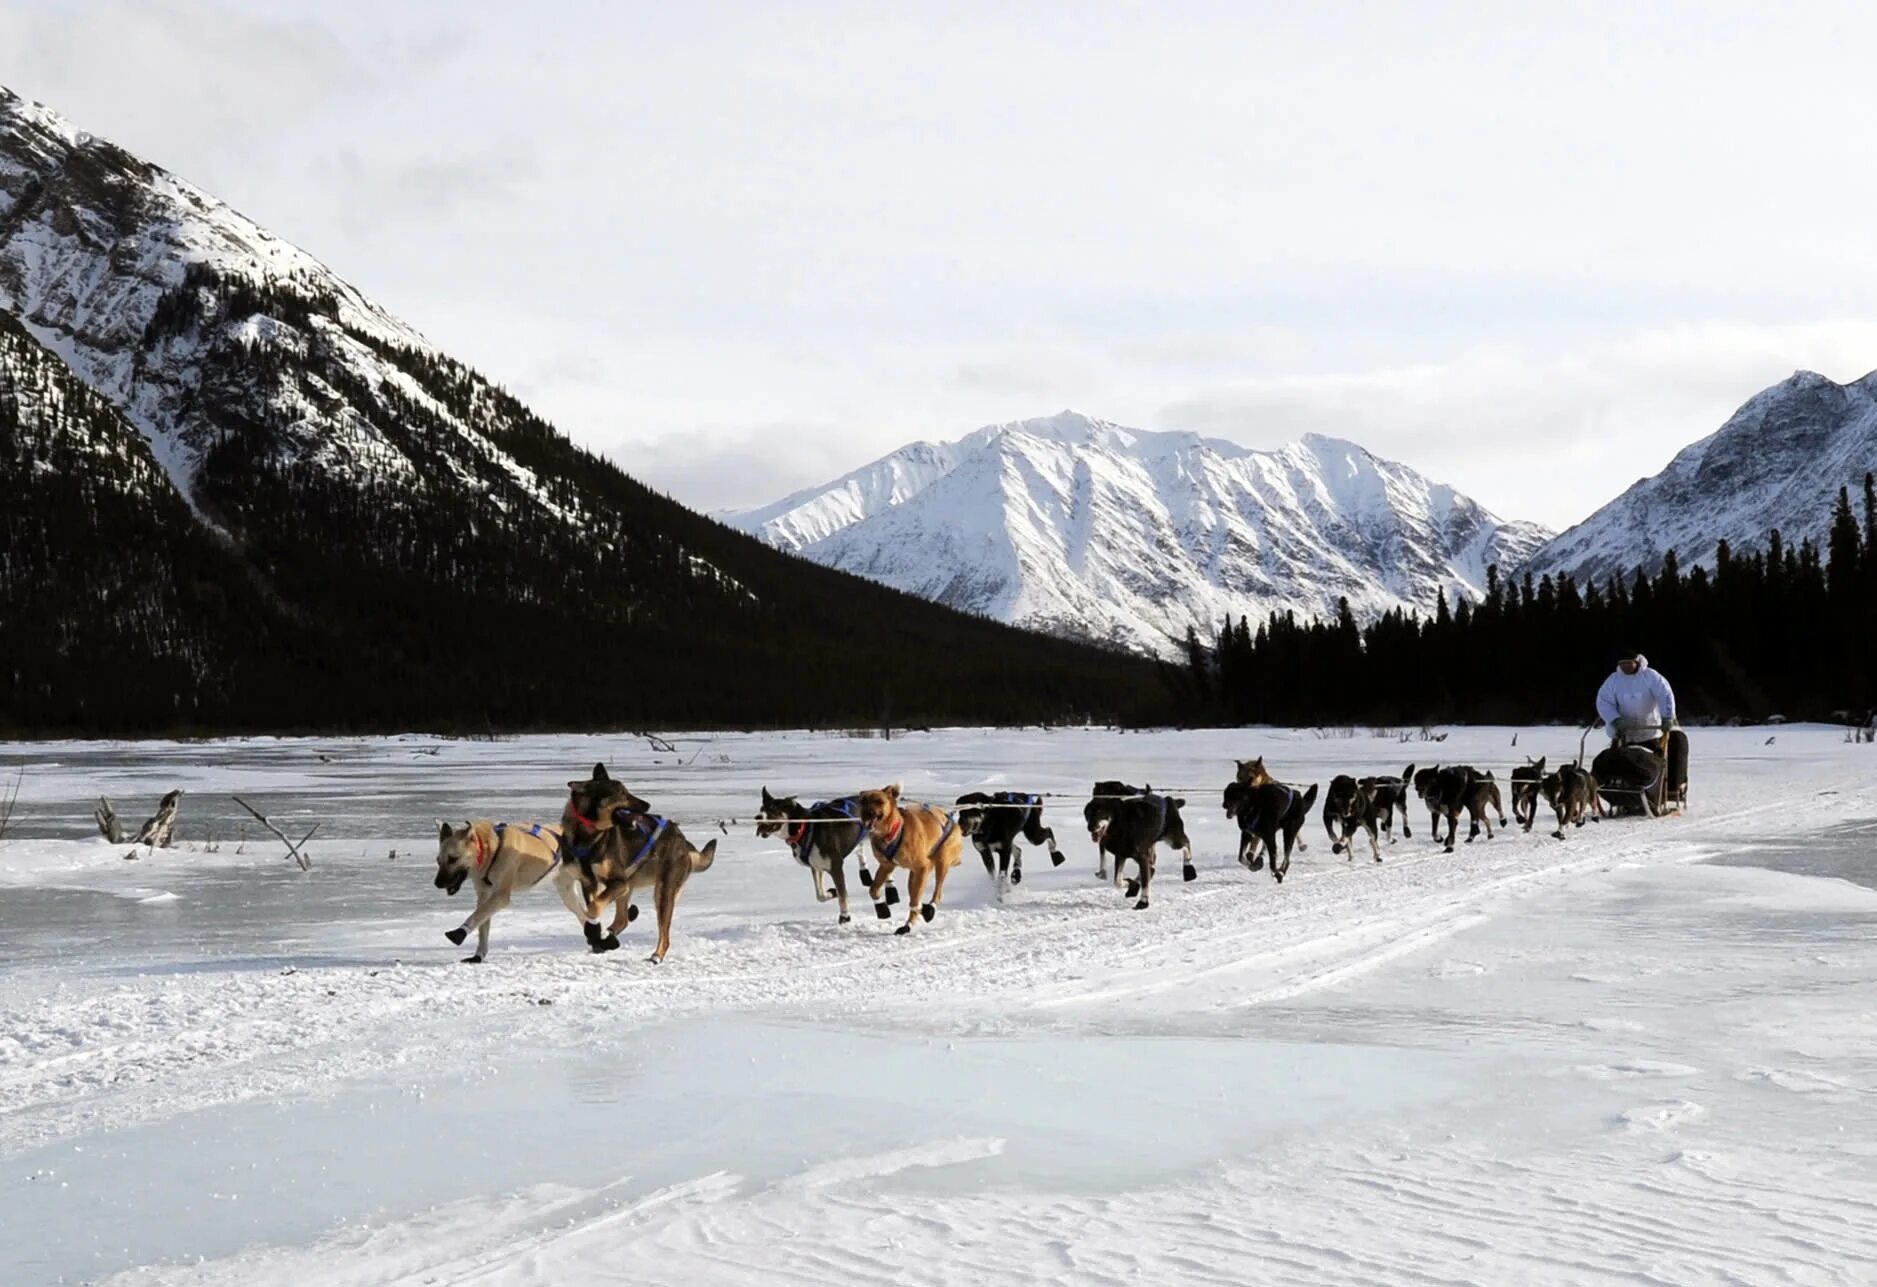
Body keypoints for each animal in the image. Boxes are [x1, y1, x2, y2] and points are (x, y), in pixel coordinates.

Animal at [433, 821, 585, 960]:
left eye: (453, 859)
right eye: (438, 860)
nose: (437, 884)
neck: (492, 850)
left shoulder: (501, 896)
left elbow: (477, 915)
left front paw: (458, 933)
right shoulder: (484, 895)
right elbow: (483, 925)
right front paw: (478, 956)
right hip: (568, 895)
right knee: (584, 916)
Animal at [859, 787, 961, 938]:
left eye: (879, 801)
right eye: (863, 801)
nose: (868, 813)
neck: (892, 831)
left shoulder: (923, 866)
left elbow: (915, 901)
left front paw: (925, 910)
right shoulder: (886, 866)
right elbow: (873, 889)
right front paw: (882, 908)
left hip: (941, 861)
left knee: (936, 894)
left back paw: (927, 910)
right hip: (914, 876)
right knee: (915, 894)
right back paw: (909, 924)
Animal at [1081, 780, 1193, 911]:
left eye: (1100, 812)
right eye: (1088, 813)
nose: (1090, 827)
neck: (1121, 824)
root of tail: (1169, 799)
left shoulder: (1141, 857)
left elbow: (1144, 883)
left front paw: (1143, 902)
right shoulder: (1121, 855)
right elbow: (1118, 881)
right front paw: (1131, 884)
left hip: (1174, 841)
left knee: (1186, 843)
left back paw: (1189, 868)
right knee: (1152, 863)